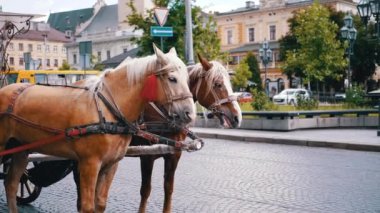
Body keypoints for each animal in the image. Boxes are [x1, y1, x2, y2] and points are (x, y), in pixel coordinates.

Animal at [0, 44, 196, 212]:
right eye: (172, 78)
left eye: (188, 79)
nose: (190, 114)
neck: (107, 110)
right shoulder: (89, 163)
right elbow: (87, 205)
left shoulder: (111, 164)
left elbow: (100, 203)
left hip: (20, 149)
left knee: (11, 184)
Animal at [132, 55, 242, 213]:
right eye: (218, 84)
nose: (237, 117)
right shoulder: (146, 156)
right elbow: (145, 190)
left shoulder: (174, 154)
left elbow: (168, 188)